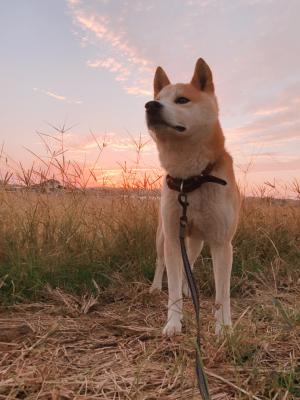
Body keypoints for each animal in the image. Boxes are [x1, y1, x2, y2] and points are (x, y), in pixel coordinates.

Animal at [144, 57, 240, 336]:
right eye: (158, 98)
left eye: (182, 100)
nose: (150, 105)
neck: (191, 179)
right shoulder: (173, 240)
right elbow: (173, 287)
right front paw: (173, 323)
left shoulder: (222, 243)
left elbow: (223, 294)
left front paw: (224, 327)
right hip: (163, 236)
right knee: (161, 263)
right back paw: (155, 287)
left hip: (196, 241)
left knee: (192, 264)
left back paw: (191, 290)